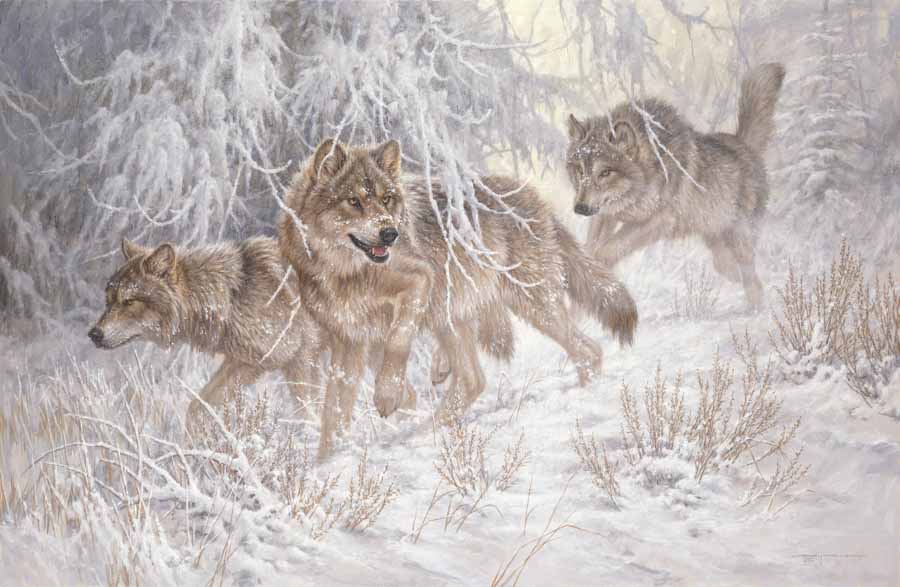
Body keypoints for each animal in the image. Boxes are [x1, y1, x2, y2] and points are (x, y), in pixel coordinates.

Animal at [88, 237, 327, 422]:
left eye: (129, 301)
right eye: (108, 301)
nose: (93, 334)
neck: (231, 296)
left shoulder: (300, 356)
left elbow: (309, 414)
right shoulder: (241, 361)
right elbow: (197, 407)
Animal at [278, 138, 638, 459]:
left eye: (387, 199)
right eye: (353, 201)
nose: (390, 234)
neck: (345, 272)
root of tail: (533, 195)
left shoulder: (419, 281)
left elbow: (397, 342)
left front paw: (387, 395)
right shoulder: (348, 339)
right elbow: (332, 412)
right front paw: (326, 461)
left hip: (529, 306)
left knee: (588, 350)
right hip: (451, 317)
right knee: (473, 380)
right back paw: (430, 428)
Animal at [566, 63, 786, 307]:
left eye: (605, 173)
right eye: (579, 170)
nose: (580, 208)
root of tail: (744, 144)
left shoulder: (659, 220)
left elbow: (610, 248)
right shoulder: (606, 214)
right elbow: (592, 246)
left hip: (739, 236)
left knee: (752, 278)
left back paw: (756, 307)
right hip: (713, 233)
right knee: (725, 265)